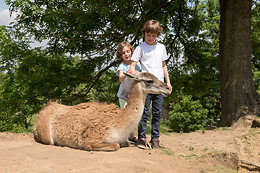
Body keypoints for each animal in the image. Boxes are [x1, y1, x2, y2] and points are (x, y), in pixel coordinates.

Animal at [33, 71, 172, 151]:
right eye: (149, 80)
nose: (167, 88)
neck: (119, 122)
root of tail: (46, 108)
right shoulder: (90, 139)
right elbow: (115, 145)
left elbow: (125, 143)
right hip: (47, 136)